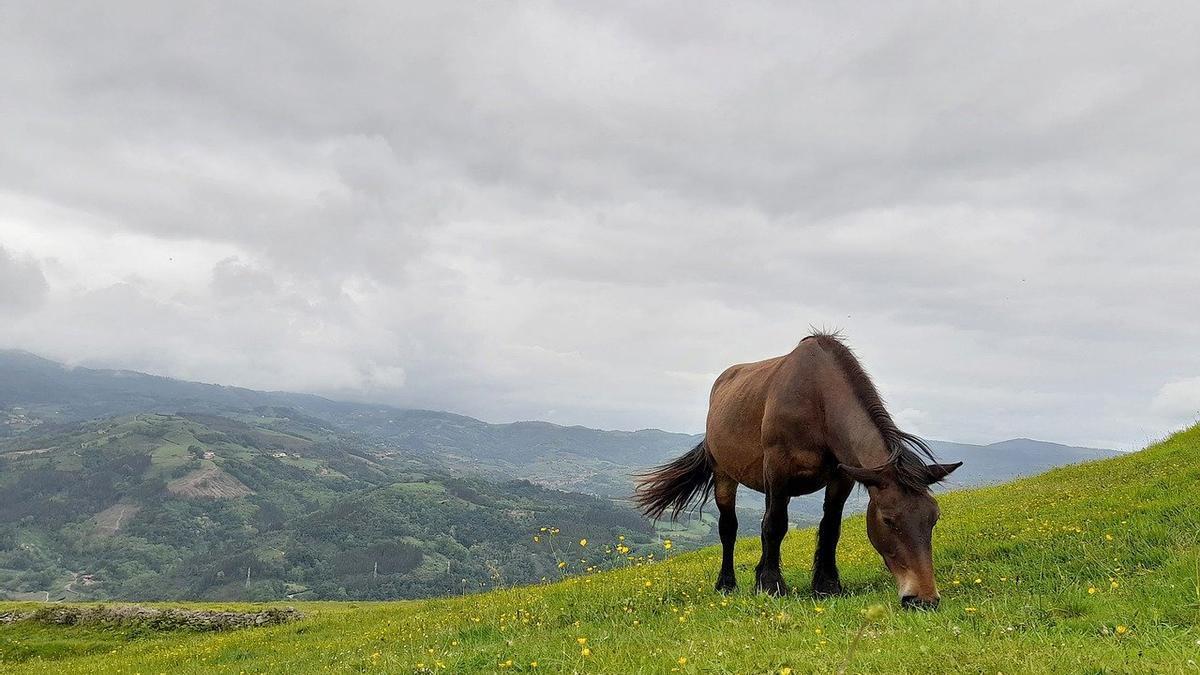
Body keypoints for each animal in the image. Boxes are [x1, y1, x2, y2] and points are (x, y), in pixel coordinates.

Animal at [633, 329, 960, 607]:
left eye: (933, 519)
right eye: (889, 520)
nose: (924, 598)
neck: (818, 399)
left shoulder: (841, 477)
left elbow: (830, 528)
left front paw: (826, 585)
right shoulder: (778, 469)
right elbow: (775, 525)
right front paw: (771, 585)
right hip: (724, 474)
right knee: (730, 529)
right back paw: (727, 583)